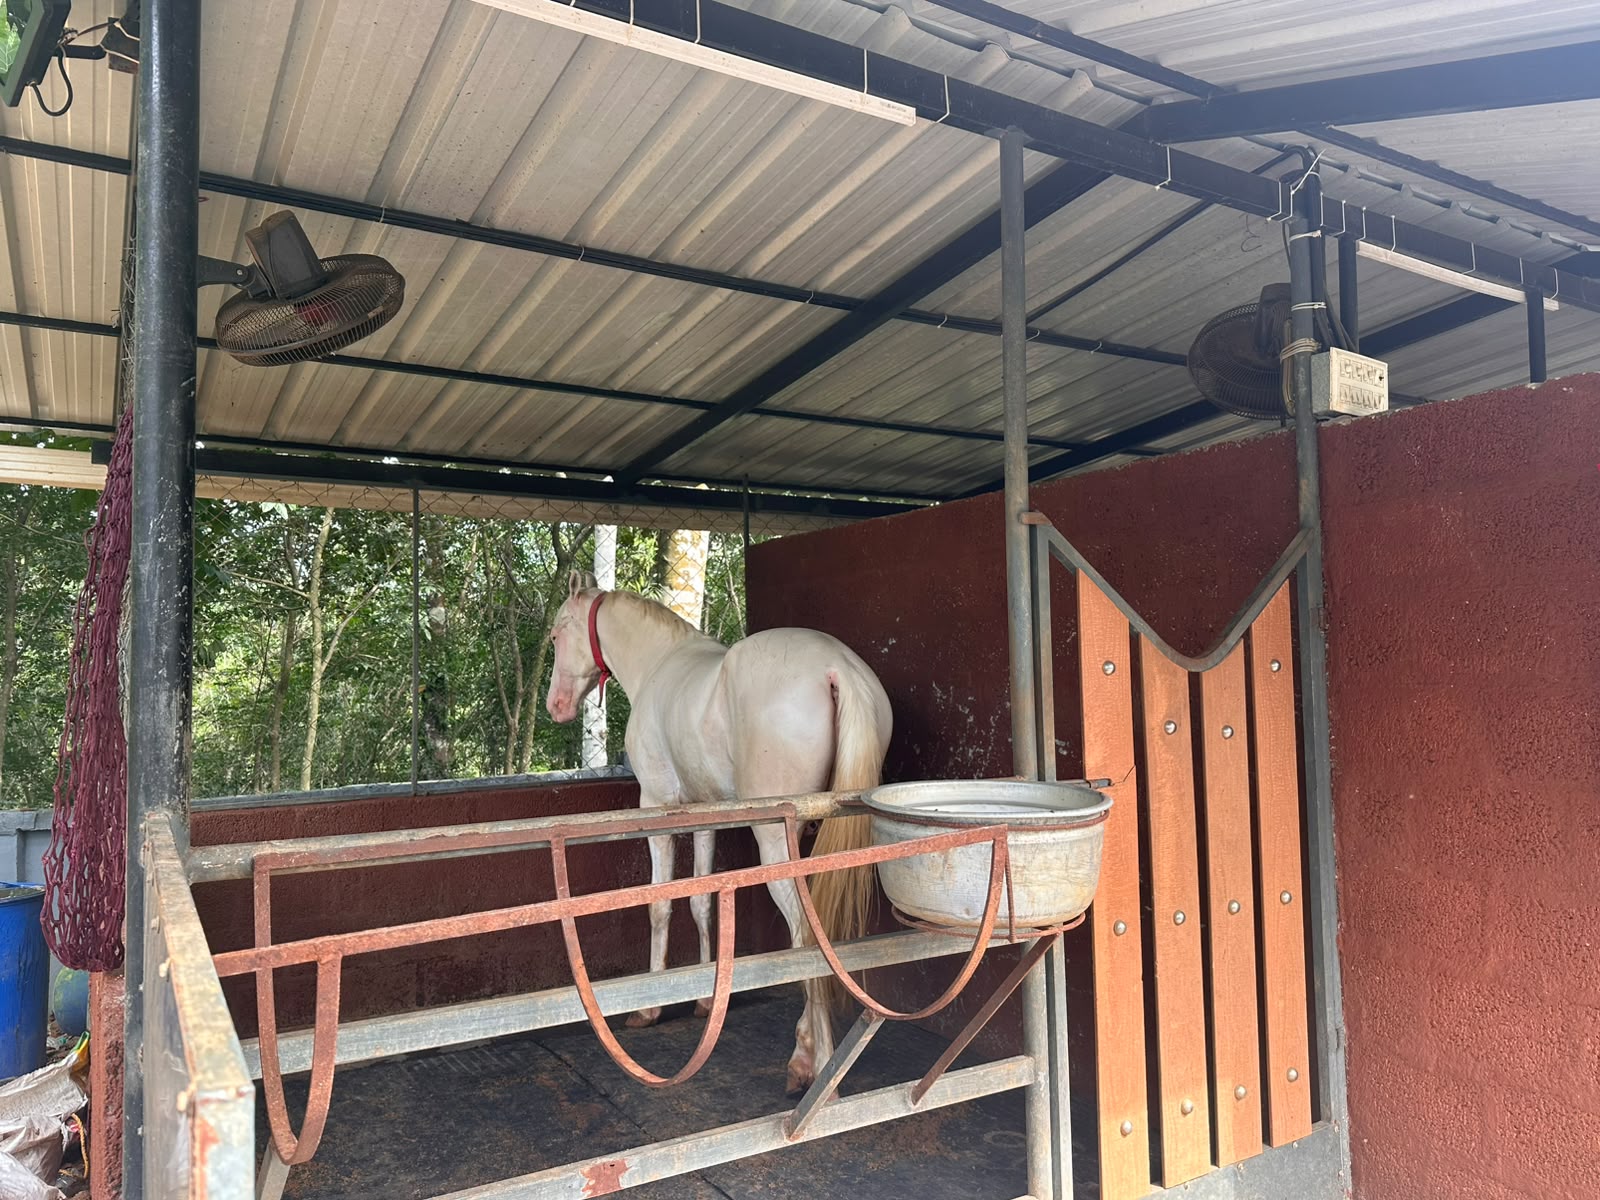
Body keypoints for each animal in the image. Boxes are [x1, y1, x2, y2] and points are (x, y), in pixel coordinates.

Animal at [544, 570, 891, 1094]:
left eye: (557, 633)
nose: (556, 706)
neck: (659, 664)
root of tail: (838, 669)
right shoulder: (705, 815)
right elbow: (701, 902)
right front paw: (707, 998)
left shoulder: (658, 809)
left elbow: (661, 905)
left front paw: (649, 1009)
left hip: (776, 841)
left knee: (806, 934)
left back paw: (812, 1063)